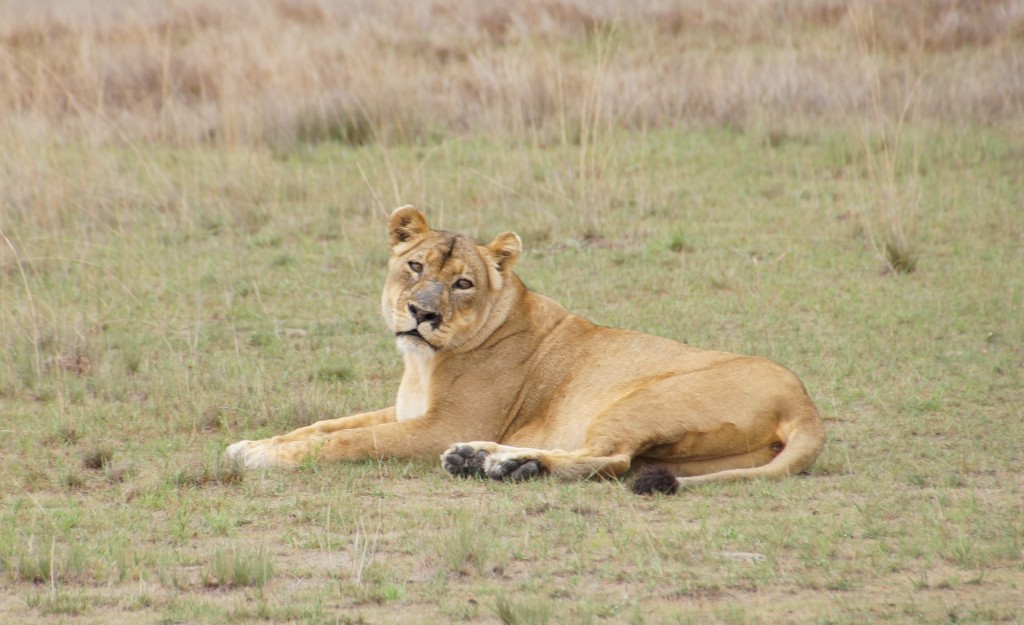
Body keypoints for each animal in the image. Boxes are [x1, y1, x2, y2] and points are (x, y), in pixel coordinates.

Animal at [226, 206, 825, 493]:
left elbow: (351, 441)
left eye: (463, 283)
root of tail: (806, 406)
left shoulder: (438, 426)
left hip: (642, 399)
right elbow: (325, 425)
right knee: (618, 462)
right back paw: (489, 462)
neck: (423, 364)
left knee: (611, 458)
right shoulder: (406, 411)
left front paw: (265, 458)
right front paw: (252, 443)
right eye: (414, 265)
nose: (422, 314)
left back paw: (495, 463)